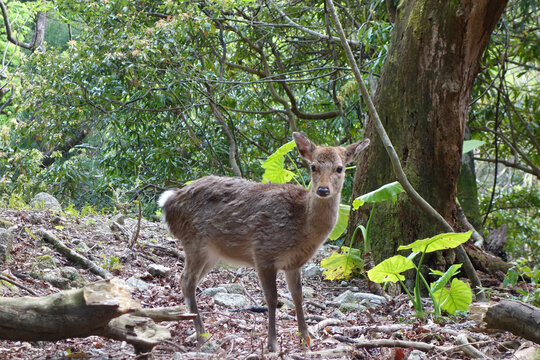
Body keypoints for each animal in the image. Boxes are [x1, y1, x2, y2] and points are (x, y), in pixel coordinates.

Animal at [158, 132, 370, 352]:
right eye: (313, 166)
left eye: (340, 168)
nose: (322, 190)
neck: (302, 227)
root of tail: (168, 202)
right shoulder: (264, 252)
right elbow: (272, 298)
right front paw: (273, 344)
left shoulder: (294, 263)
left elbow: (298, 296)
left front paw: (305, 339)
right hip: (195, 241)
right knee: (187, 280)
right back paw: (203, 338)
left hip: (211, 253)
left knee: (187, 281)